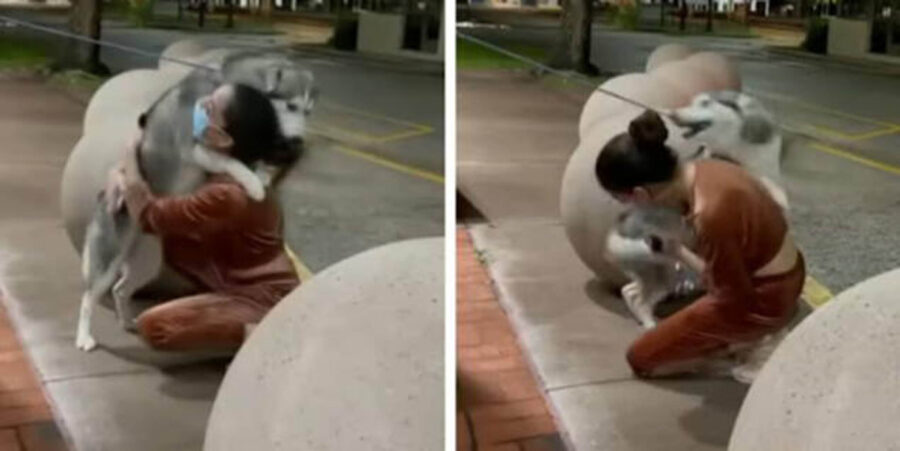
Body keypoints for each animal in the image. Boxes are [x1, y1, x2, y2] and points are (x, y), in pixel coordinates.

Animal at [76, 50, 316, 354]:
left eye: (308, 111)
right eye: (291, 106)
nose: (298, 144)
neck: (227, 81)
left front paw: (261, 174)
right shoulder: (196, 149)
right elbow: (231, 161)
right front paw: (252, 182)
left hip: (147, 263)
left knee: (120, 289)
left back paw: (127, 321)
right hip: (108, 258)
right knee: (88, 296)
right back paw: (84, 336)